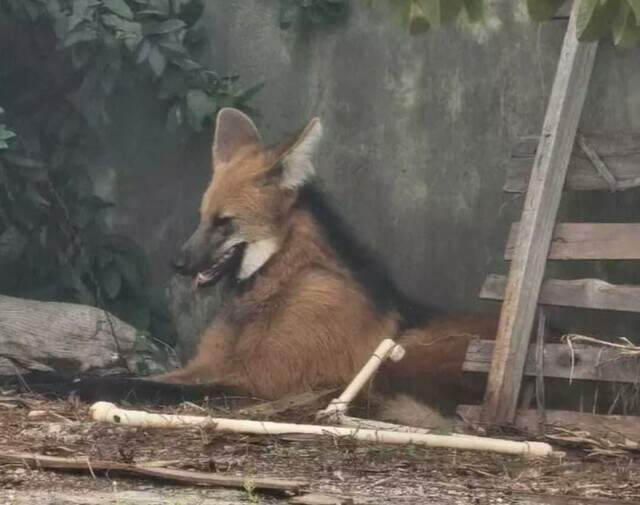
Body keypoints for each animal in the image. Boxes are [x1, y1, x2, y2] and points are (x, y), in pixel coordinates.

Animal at [157, 107, 497, 425]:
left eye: (225, 222)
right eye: (202, 218)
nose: (177, 264)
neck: (277, 281)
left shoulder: (259, 378)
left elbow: (156, 386)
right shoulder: (209, 364)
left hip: (399, 356)